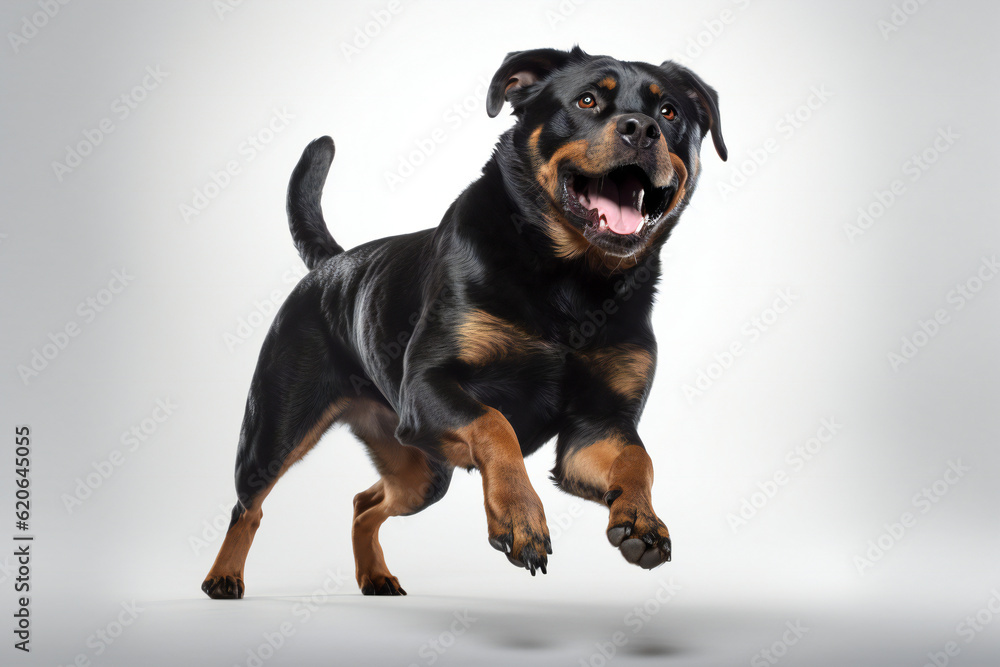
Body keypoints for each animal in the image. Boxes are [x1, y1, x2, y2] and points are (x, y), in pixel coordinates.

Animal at [201, 47, 728, 600]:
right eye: (587, 100)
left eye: (669, 112)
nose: (641, 129)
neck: (572, 280)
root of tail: (331, 264)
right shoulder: (428, 387)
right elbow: (496, 426)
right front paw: (520, 517)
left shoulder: (596, 429)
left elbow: (637, 459)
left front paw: (642, 520)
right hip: (274, 430)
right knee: (248, 506)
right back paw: (224, 576)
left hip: (421, 469)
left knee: (366, 503)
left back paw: (375, 574)